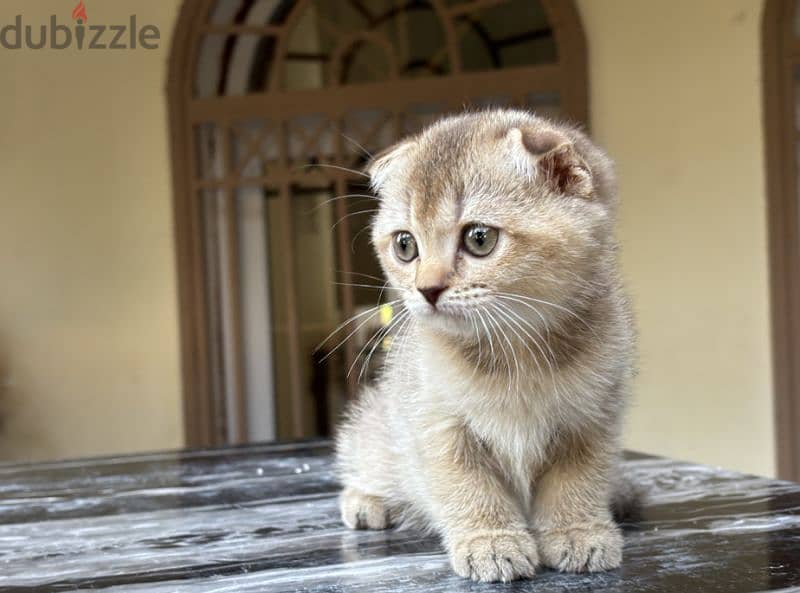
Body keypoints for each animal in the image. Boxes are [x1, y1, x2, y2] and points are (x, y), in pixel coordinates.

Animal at [334, 108, 636, 580]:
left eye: (479, 238)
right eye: (405, 245)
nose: (427, 290)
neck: (516, 352)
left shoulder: (592, 419)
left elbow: (577, 481)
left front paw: (578, 532)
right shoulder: (437, 423)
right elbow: (468, 486)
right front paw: (491, 542)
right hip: (378, 428)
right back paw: (367, 500)